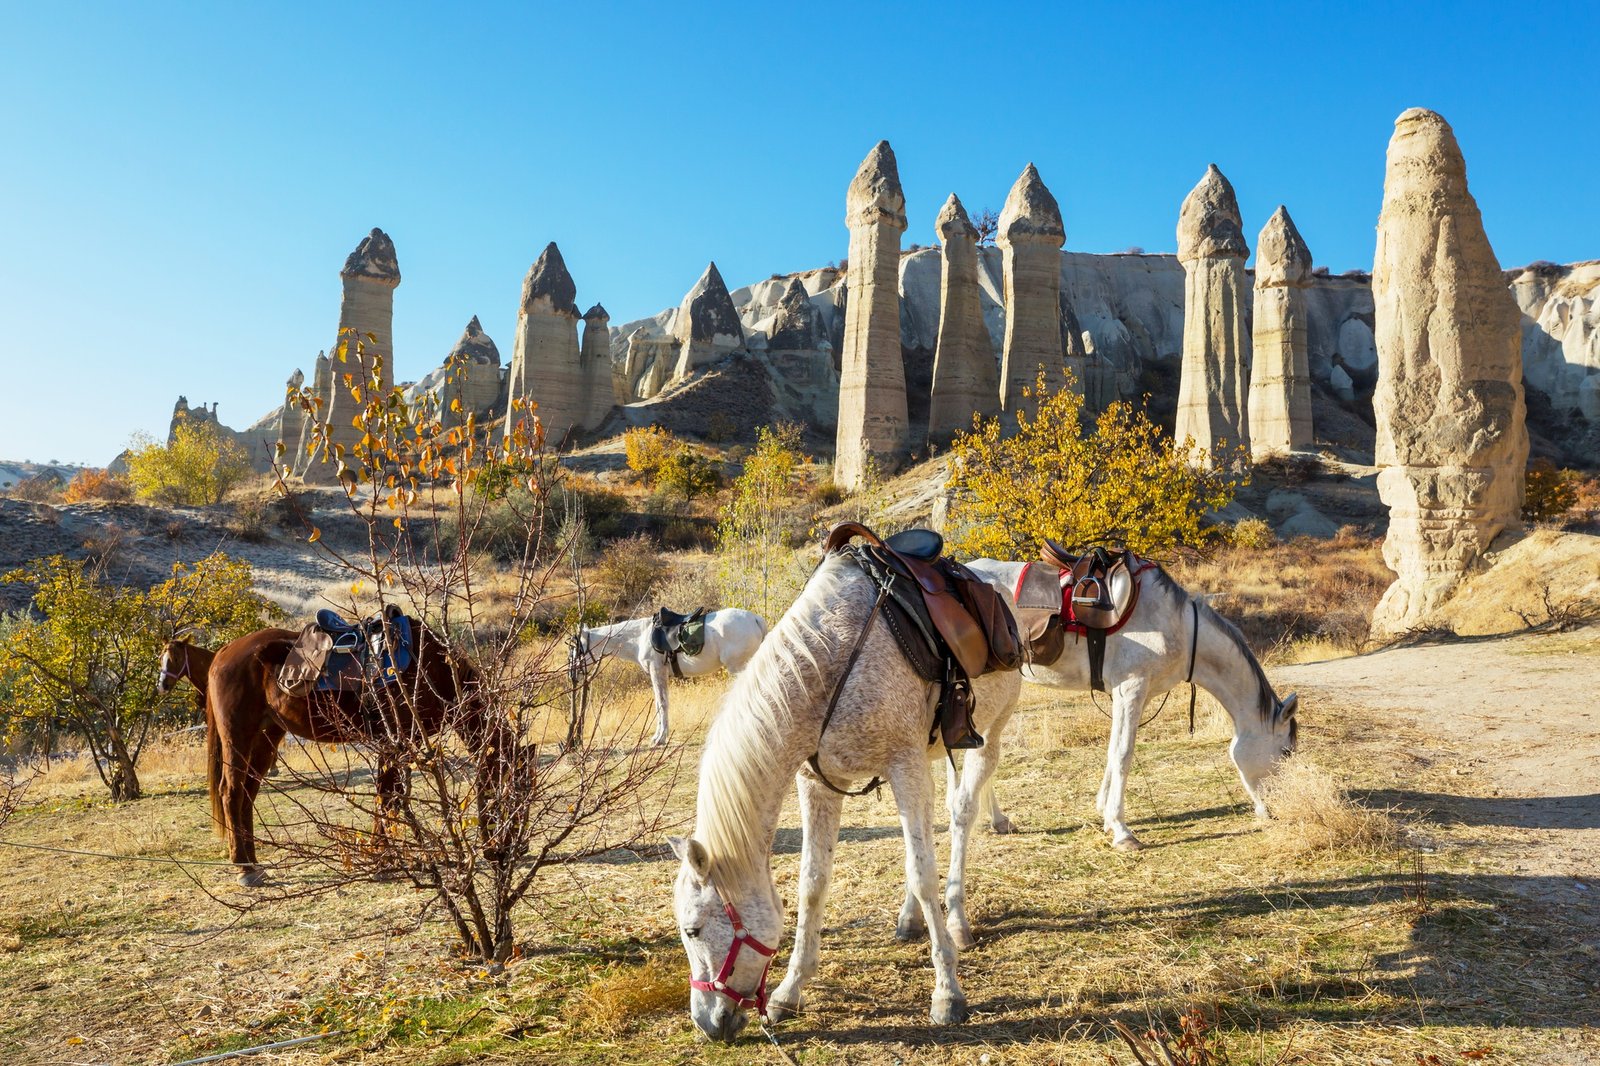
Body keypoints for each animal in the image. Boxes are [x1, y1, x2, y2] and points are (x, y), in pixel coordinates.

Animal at [203, 614, 505, 877]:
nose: (500, 852)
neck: (428, 667)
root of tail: (225, 652)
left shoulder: (401, 745)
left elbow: (390, 796)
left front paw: (383, 853)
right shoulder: (392, 743)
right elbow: (387, 796)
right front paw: (382, 855)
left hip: (266, 737)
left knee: (247, 793)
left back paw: (253, 860)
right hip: (238, 736)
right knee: (231, 791)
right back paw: (243, 866)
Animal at [576, 601, 768, 742]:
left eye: (577, 649)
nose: (573, 674)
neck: (640, 637)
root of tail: (755, 619)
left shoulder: (657, 672)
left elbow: (662, 703)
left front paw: (660, 738)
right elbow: (659, 703)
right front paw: (659, 735)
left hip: (740, 668)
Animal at [668, 547, 1017, 1037]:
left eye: (693, 930)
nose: (705, 1022)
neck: (827, 668)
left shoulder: (904, 766)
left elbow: (923, 875)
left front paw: (947, 992)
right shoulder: (821, 785)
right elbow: (813, 883)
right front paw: (788, 991)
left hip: (989, 734)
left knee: (962, 815)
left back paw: (958, 922)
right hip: (933, 755)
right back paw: (911, 919)